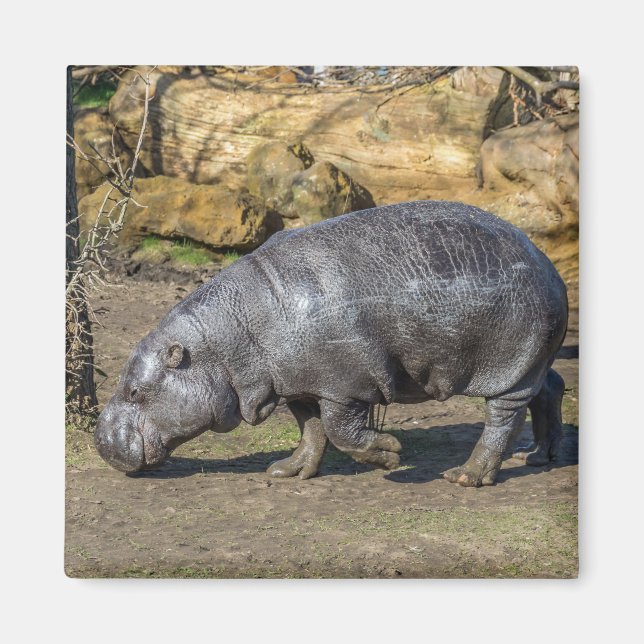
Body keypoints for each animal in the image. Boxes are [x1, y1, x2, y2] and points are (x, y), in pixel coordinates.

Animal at [95, 200, 567, 487]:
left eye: (134, 391)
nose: (100, 441)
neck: (229, 337)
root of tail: (549, 265)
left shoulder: (346, 385)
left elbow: (341, 431)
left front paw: (392, 455)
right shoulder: (299, 383)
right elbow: (311, 429)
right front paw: (287, 471)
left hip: (508, 366)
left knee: (503, 417)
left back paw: (465, 476)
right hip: (532, 361)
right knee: (551, 389)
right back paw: (538, 457)